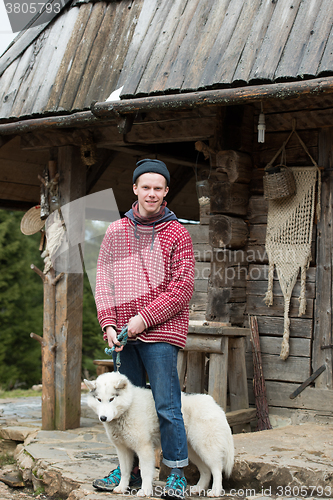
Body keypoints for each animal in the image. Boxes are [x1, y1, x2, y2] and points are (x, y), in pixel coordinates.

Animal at [83, 372, 233, 496]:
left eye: (112, 399)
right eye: (99, 400)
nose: (103, 418)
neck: (129, 406)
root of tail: (214, 404)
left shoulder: (144, 448)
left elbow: (145, 472)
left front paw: (145, 491)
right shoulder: (123, 449)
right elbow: (125, 471)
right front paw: (122, 487)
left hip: (205, 448)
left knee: (217, 469)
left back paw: (215, 491)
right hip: (192, 451)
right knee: (206, 471)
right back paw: (199, 488)